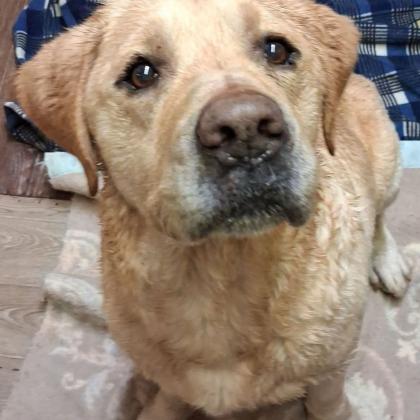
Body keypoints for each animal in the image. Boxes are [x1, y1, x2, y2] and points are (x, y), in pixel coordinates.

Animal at [15, 0, 412, 418]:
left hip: (387, 164)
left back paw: (388, 262)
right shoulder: (172, 383)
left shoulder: (331, 370)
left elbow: (329, 405)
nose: (246, 130)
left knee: (379, 214)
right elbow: (168, 401)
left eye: (277, 50)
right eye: (141, 74)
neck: (221, 275)